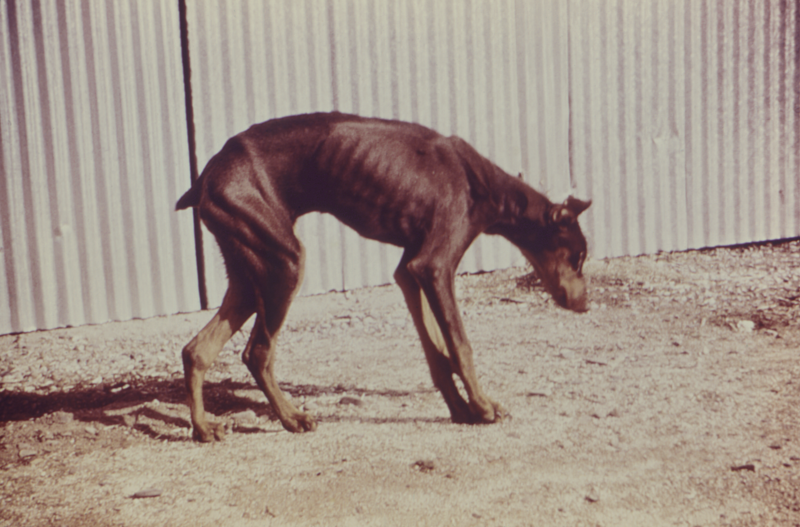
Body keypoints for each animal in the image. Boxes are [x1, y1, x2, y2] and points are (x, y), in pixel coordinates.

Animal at [177, 112, 588, 442]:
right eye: (579, 256)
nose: (584, 304)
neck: (483, 183)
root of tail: (207, 176)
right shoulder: (435, 267)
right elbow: (460, 345)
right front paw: (483, 406)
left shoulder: (410, 272)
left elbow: (437, 351)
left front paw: (461, 408)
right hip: (283, 265)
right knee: (257, 352)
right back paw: (292, 417)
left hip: (251, 275)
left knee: (196, 350)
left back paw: (203, 427)